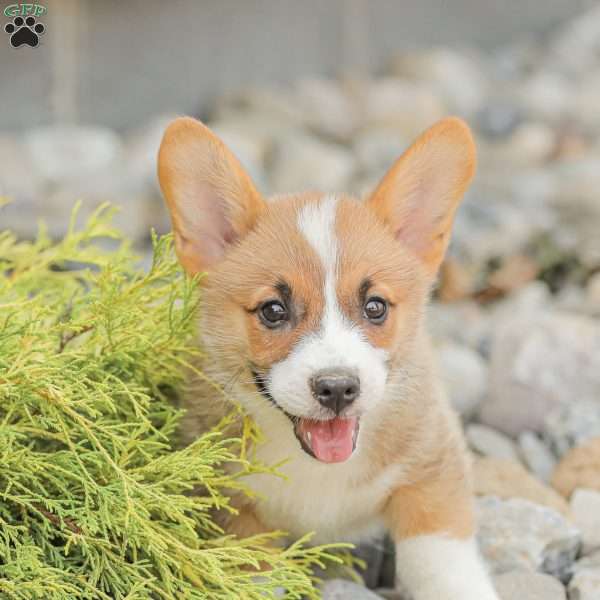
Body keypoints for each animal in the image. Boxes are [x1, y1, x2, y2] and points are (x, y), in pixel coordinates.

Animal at [157, 117, 500, 600]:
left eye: (375, 307)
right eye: (273, 311)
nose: (337, 388)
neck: (317, 471)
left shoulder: (432, 468)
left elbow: (439, 561)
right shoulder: (232, 509)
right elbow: (258, 572)